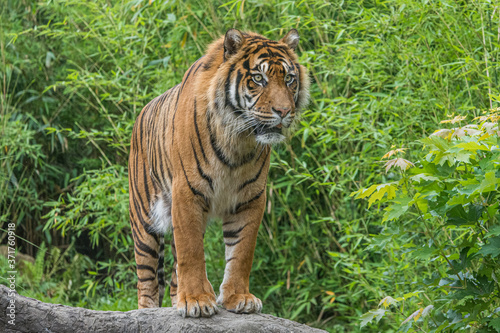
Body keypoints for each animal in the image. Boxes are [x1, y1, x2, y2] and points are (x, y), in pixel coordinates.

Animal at [129, 28, 308, 316]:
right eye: (258, 78)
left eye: (289, 78)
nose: (284, 111)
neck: (238, 139)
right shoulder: (187, 194)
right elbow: (192, 252)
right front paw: (197, 300)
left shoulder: (250, 198)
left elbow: (242, 252)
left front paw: (238, 297)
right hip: (144, 221)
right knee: (146, 279)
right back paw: (148, 311)